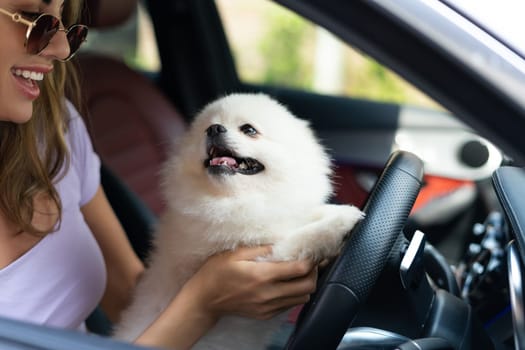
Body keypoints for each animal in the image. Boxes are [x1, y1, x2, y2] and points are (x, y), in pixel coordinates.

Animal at [112, 92, 362, 348]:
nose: (214, 129)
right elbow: (304, 238)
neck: (237, 200)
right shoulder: (264, 255)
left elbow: (306, 216)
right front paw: (343, 220)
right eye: (207, 127)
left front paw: (334, 211)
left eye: (249, 130)